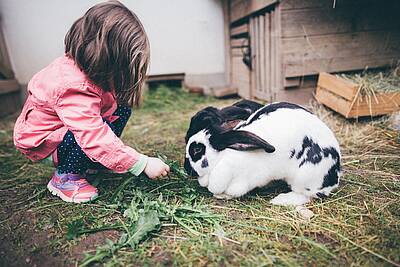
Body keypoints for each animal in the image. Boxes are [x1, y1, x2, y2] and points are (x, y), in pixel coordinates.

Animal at [185, 101, 340, 206]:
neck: (222, 158)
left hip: (304, 178)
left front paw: (221, 196)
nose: (187, 169)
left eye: (197, 150)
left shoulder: (242, 181)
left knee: (308, 195)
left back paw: (281, 200)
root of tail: (335, 174)